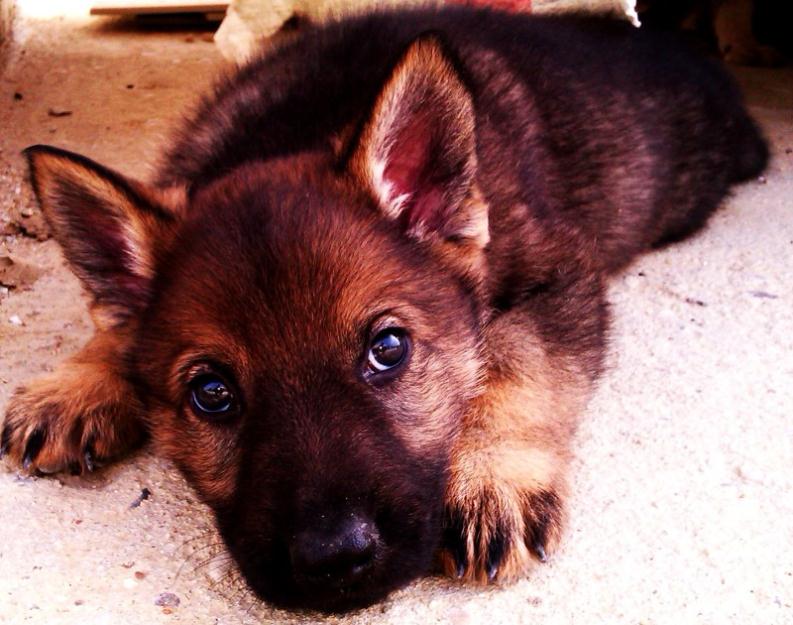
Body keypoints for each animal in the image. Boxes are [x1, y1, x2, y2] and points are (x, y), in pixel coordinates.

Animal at [1, 4, 768, 612]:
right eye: (211, 393)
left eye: (389, 349)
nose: (337, 560)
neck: (299, 126)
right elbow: (113, 328)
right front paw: (75, 385)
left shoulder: (562, 279)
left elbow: (518, 358)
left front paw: (488, 477)